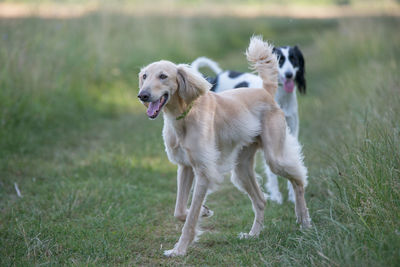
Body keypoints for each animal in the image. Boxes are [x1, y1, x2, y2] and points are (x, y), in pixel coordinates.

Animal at [191, 46, 306, 205]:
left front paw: (293, 196)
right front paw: (276, 196)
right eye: (280, 59)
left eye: (293, 59)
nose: (289, 75)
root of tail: (217, 77)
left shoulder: (291, 133)